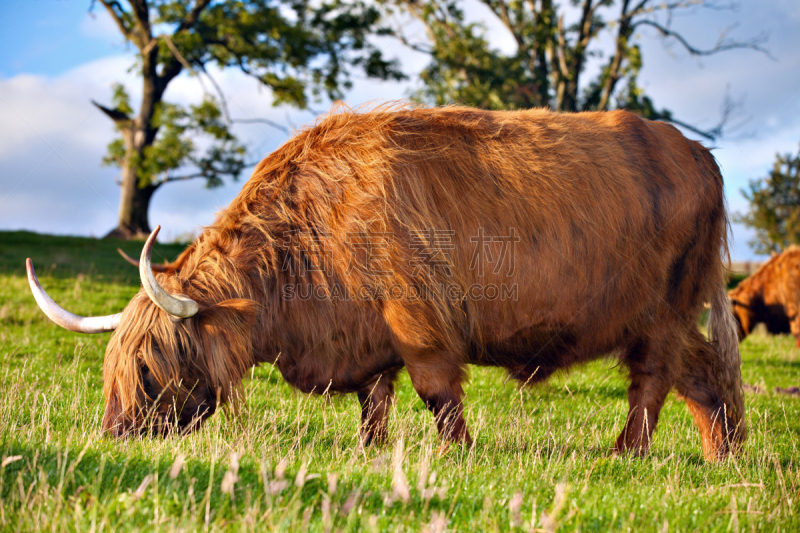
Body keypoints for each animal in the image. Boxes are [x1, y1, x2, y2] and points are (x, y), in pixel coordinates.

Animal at [29, 106, 744, 460]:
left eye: (151, 368)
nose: (115, 436)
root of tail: (699, 154)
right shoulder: (367, 335)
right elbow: (374, 398)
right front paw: (369, 449)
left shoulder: (417, 319)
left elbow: (436, 391)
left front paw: (459, 454)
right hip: (664, 315)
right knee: (705, 372)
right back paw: (726, 451)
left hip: (660, 311)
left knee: (653, 380)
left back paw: (625, 453)